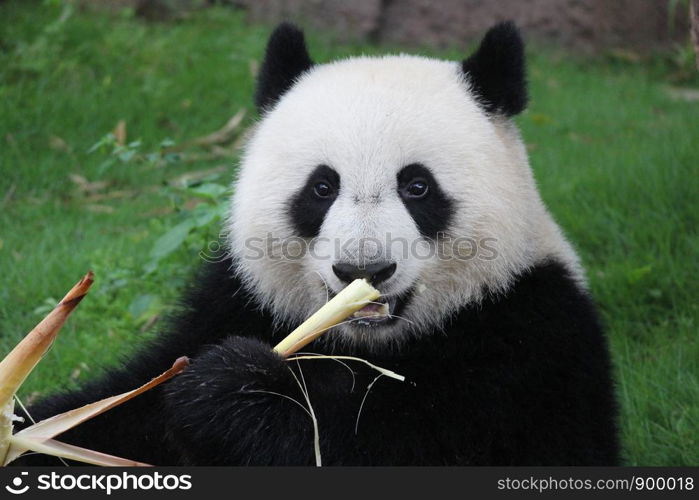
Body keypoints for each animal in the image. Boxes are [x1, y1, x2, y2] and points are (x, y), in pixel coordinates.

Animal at [15, 21, 616, 466]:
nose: (363, 268)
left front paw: (232, 392)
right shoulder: (236, 300)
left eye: (418, 186)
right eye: (322, 187)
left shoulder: (532, 343)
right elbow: (117, 411)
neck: (367, 344)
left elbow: (374, 446)